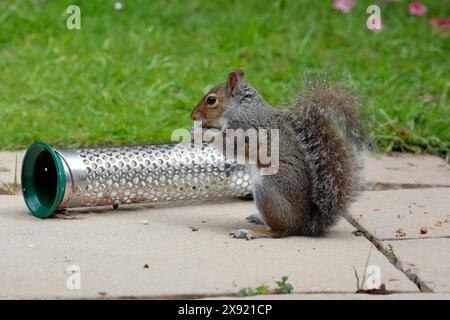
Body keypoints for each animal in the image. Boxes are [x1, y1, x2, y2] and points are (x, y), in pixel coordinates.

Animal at [190, 70, 370, 240]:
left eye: (211, 100)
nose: (193, 115)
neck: (240, 107)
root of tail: (304, 225)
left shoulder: (243, 129)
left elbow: (230, 145)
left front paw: (199, 131)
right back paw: (258, 218)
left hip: (267, 188)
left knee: (279, 231)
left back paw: (249, 232)